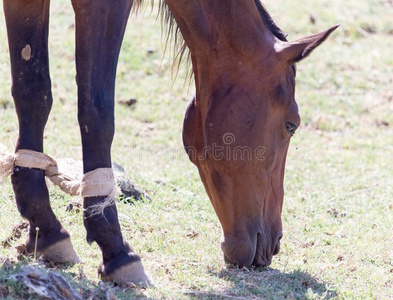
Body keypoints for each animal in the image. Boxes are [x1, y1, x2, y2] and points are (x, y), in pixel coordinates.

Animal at [1, 0, 336, 286]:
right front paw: (116, 250)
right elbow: (96, 110)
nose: (275, 242)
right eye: (292, 125)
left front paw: (46, 229)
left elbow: (34, 91)